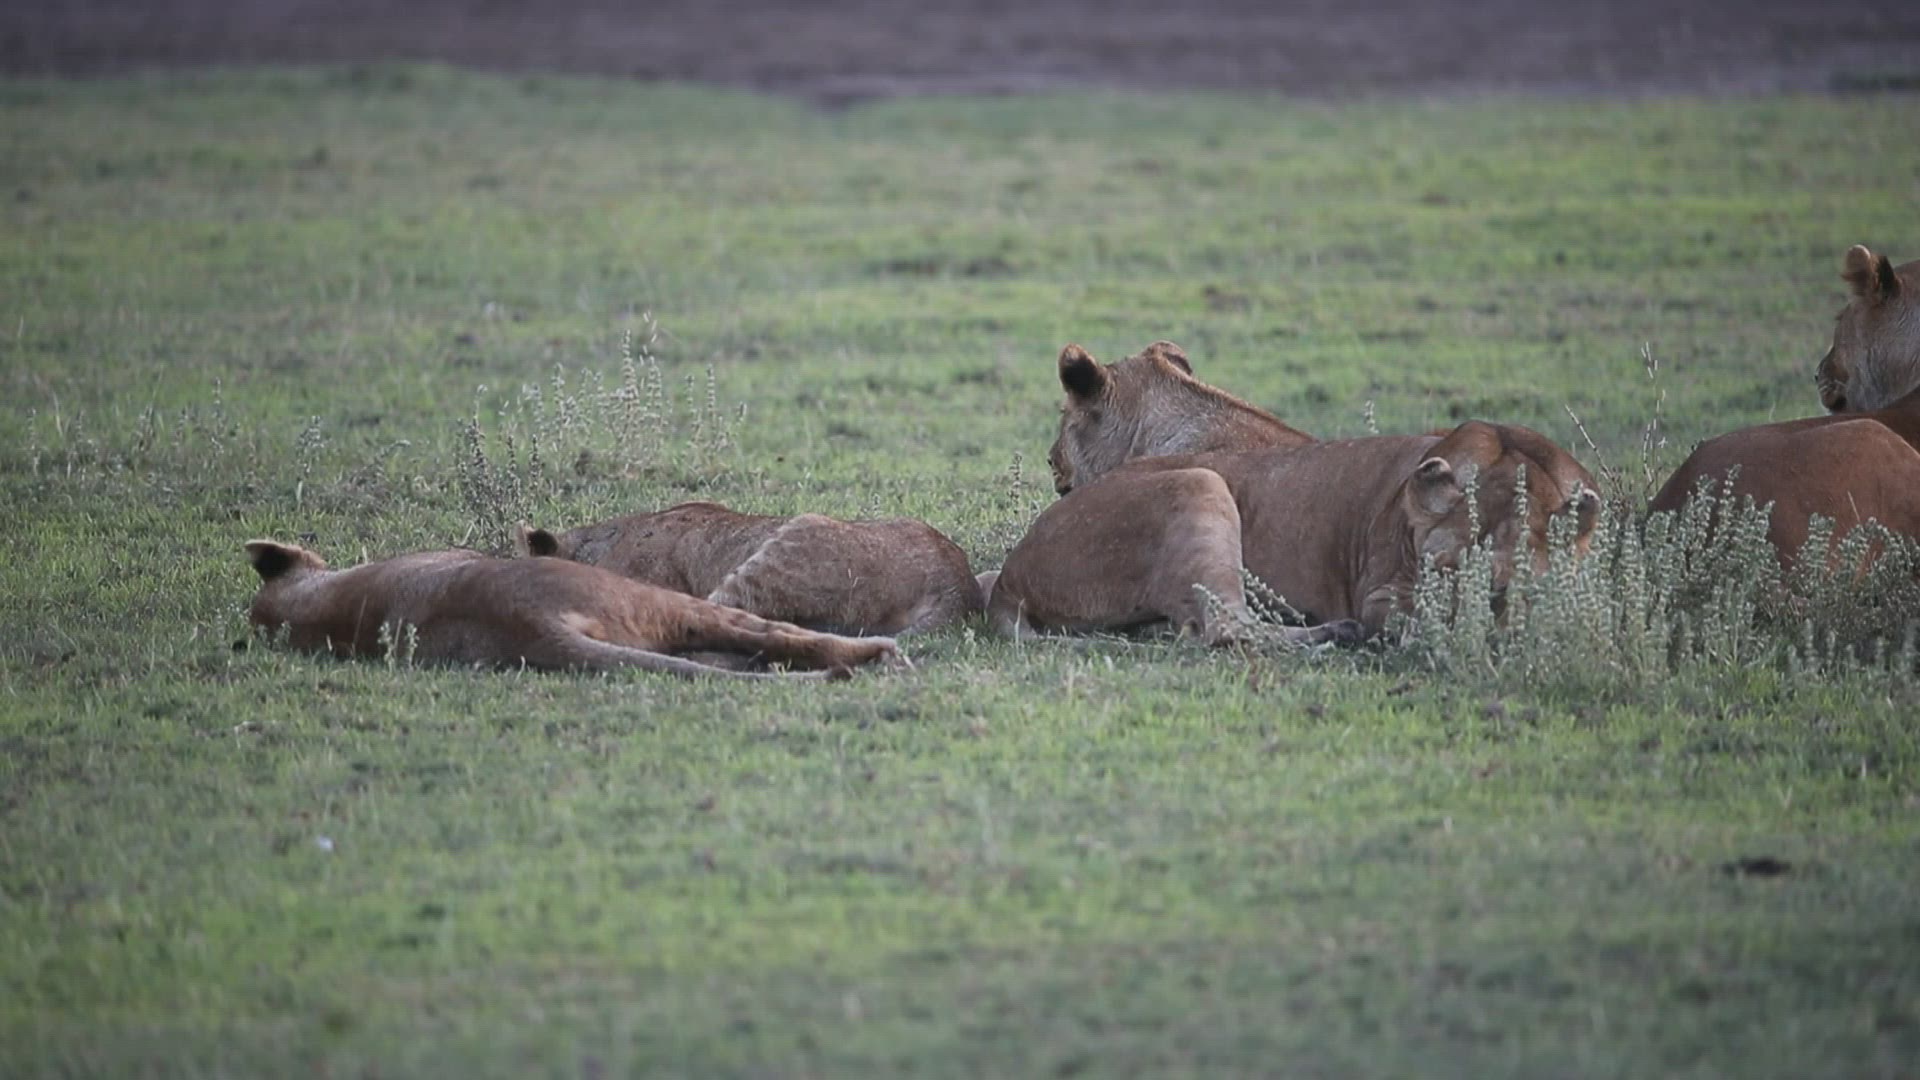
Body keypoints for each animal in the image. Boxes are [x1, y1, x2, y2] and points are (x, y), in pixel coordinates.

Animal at [987, 421, 1600, 642]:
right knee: (1226, 630)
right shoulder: (1383, 593)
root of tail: (1011, 575)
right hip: (1200, 481)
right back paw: (1334, 634)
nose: (1490, 617)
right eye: (1448, 571)